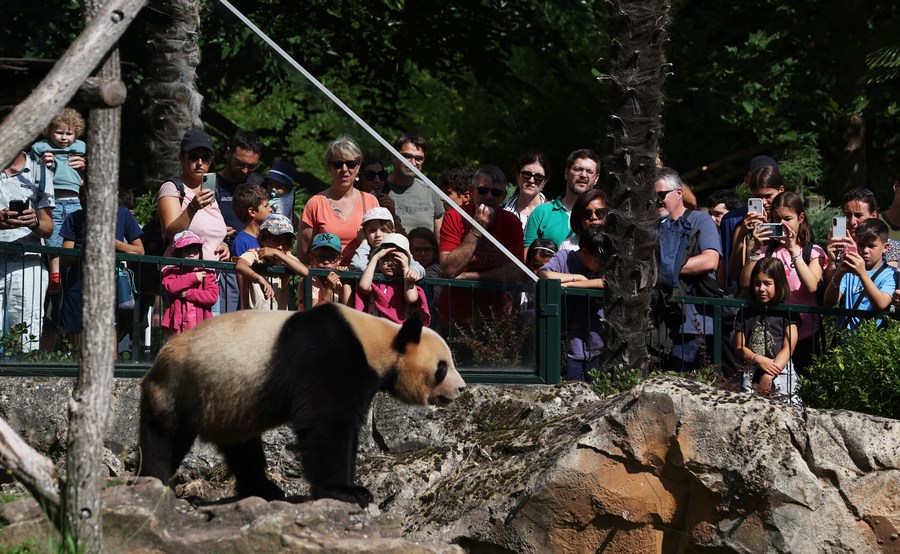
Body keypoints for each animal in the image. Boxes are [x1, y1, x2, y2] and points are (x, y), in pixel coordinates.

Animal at [141, 302, 468, 504]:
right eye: (442, 367)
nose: (461, 388)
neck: (378, 341)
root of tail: (156, 360)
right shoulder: (329, 355)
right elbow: (325, 423)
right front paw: (346, 491)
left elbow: (348, 427)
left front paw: (353, 485)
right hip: (181, 386)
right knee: (164, 437)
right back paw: (159, 485)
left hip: (229, 401)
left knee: (242, 448)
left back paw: (266, 490)